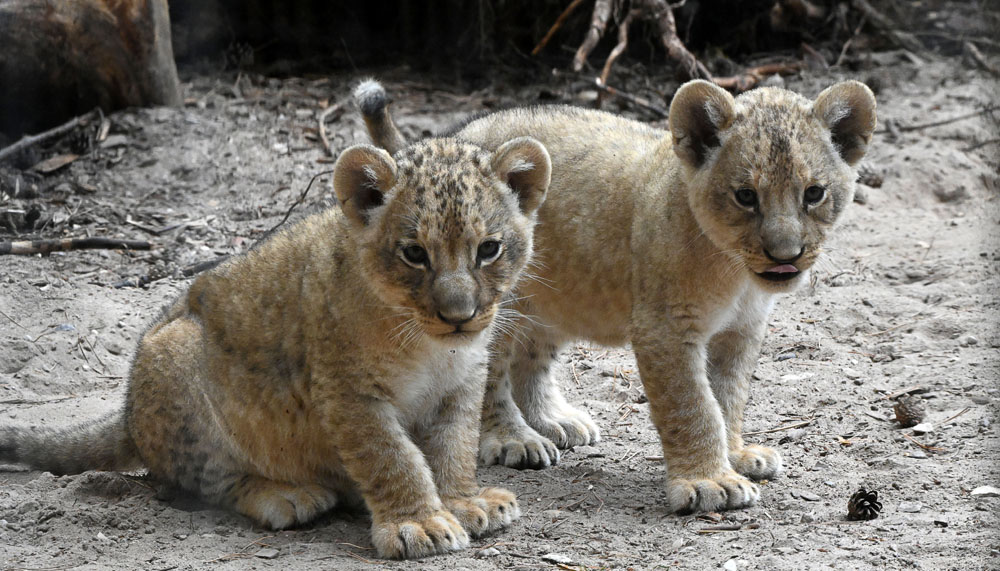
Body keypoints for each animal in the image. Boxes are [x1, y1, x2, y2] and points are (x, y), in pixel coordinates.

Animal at [0, 134, 553, 558]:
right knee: (207, 481)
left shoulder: (461, 385)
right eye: (415, 253)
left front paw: (462, 501)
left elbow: (453, 447)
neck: (432, 347)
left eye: (489, 249)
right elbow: (392, 456)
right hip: (177, 355)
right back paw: (286, 497)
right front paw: (418, 523)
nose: (459, 317)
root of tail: (127, 412)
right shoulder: (349, 393)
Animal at [356, 78, 876, 514]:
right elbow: (694, 405)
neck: (736, 273)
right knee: (490, 374)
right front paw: (710, 482)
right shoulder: (665, 329)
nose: (785, 256)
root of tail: (457, 137)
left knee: (532, 359)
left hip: (556, 297)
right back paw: (515, 439)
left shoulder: (741, 332)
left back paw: (555, 421)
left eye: (813, 193)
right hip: (496, 302)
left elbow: (728, 396)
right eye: (746, 196)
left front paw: (735, 454)